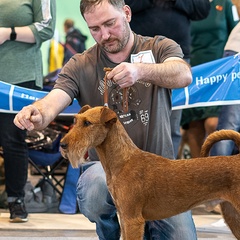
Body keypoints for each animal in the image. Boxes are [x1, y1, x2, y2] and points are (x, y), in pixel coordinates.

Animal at [60, 105, 240, 240]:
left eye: (87, 123)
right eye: (75, 120)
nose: (62, 144)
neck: (123, 160)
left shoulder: (133, 219)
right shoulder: (124, 217)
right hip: (231, 214)